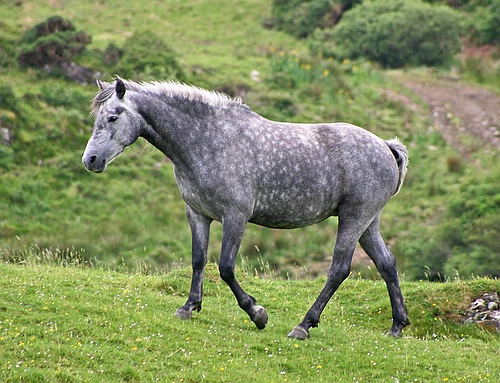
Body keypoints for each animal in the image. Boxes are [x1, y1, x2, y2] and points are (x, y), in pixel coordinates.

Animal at [83, 77, 410, 340]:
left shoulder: (235, 217)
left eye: (113, 117)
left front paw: (257, 314)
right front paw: (189, 307)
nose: (90, 160)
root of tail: (385, 146)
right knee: (387, 264)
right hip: (367, 222)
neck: (209, 140)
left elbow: (226, 268)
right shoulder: (197, 214)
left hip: (354, 219)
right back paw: (397, 326)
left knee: (338, 270)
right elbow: (198, 260)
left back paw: (303, 326)